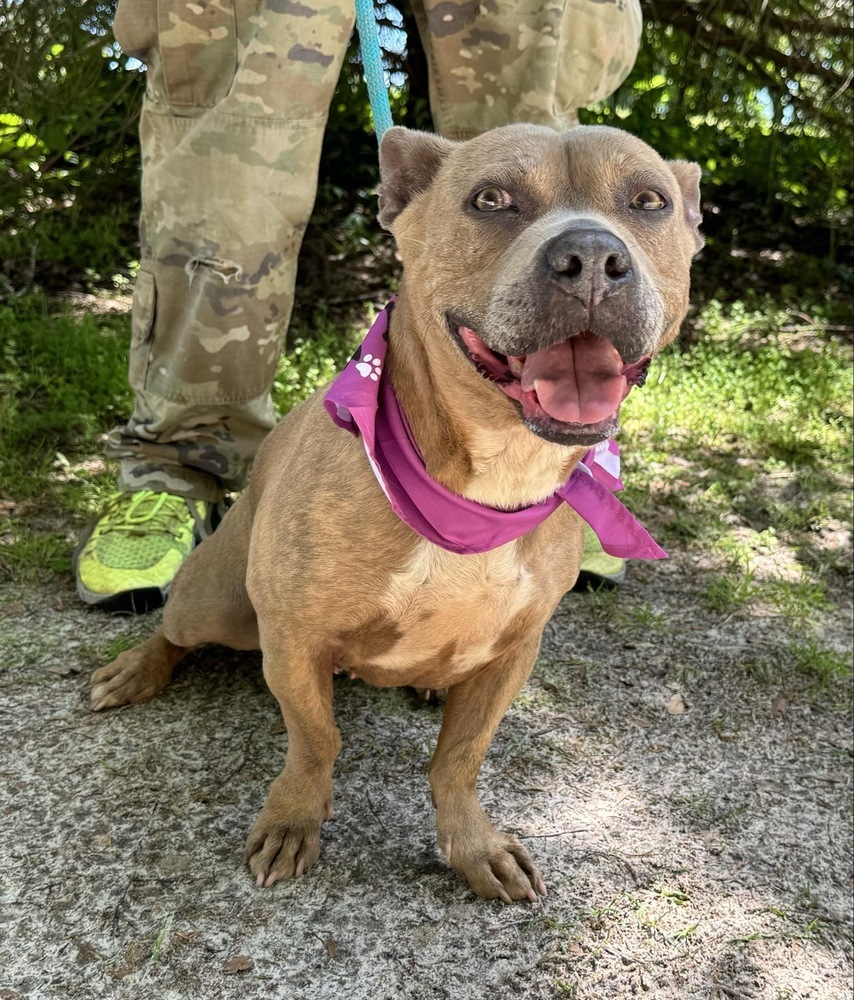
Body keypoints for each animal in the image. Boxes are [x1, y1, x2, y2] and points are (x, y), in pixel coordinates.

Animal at [90, 123, 704, 900]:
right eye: (491, 199)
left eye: (649, 201)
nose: (592, 257)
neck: (487, 484)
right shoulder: (292, 638)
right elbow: (315, 739)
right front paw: (294, 818)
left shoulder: (514, 653)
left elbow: (460, 759)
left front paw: (472, 846)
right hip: (216, 602)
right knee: (174, 628)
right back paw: (137, 669)